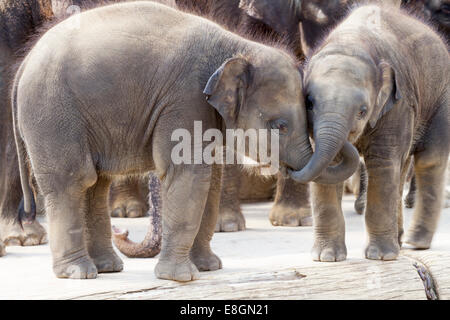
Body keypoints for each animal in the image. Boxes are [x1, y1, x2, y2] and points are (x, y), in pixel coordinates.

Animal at [13, 1, 356, 278]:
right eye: (280, 126)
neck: (236, 46)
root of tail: (24, 63)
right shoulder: (184, 99)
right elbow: (189, 174)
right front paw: (180, 277)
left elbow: (211, 180)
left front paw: (208, 268)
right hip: (52, 112)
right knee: (74, 179)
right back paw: (78, 273)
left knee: (96, 185)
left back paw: (107, 268)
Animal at [290, 2, 448, 262]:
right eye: (309, 103)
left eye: (363, 111)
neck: (352, 42)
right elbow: (328, 167)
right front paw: (327, 258)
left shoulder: (399, 104)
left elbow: (382, 162)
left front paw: (380, 257)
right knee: (403, 167)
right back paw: (400, 241)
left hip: (440, 100)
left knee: (429, 160)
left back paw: (415, 243)